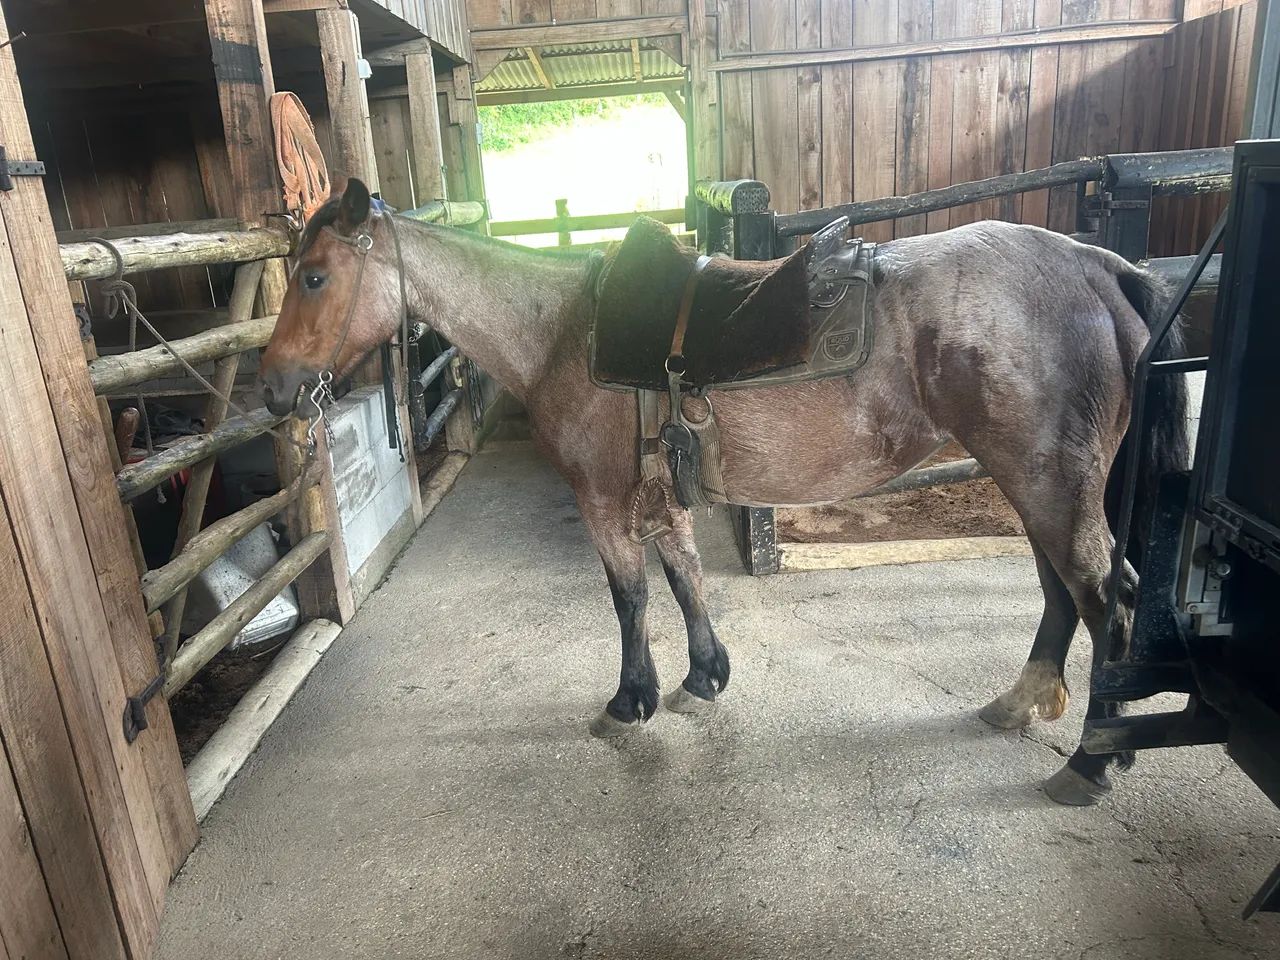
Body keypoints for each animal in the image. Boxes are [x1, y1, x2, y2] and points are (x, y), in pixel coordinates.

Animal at [258, 178, 1187, 807]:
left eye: (314, 277)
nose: (271, 390)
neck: (560, 333)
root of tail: (1099, 267)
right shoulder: (661, 493)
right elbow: (684, 578)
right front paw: (703, 678)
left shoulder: (604, 500)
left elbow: (631, 594)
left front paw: (628, 700)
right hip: (1030, 480)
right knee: (1061, 591)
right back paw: (1021, 702)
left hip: (1048, 480)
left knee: (1101, 596)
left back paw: (1092, 760)